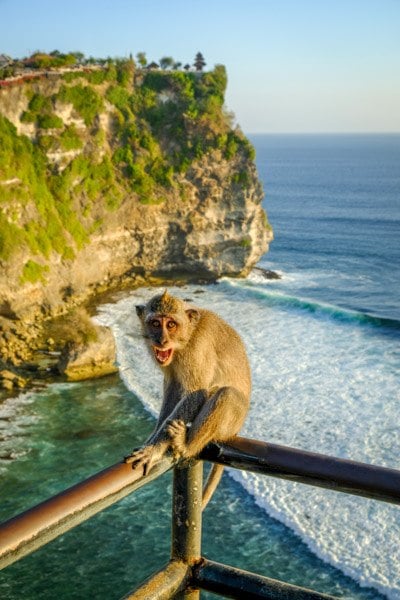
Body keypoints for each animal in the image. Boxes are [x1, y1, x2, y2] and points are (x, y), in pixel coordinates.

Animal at [125, 290, 250, 506]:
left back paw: (185, 446)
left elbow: (196, 392)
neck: (186, 337)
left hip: (233, 422)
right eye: (155, 323)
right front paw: (152, 438)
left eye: (171, 325)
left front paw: (154, 449)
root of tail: (237, 430)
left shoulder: (197, 350)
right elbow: (173, 390)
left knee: (226, 394)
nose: (162, 340)